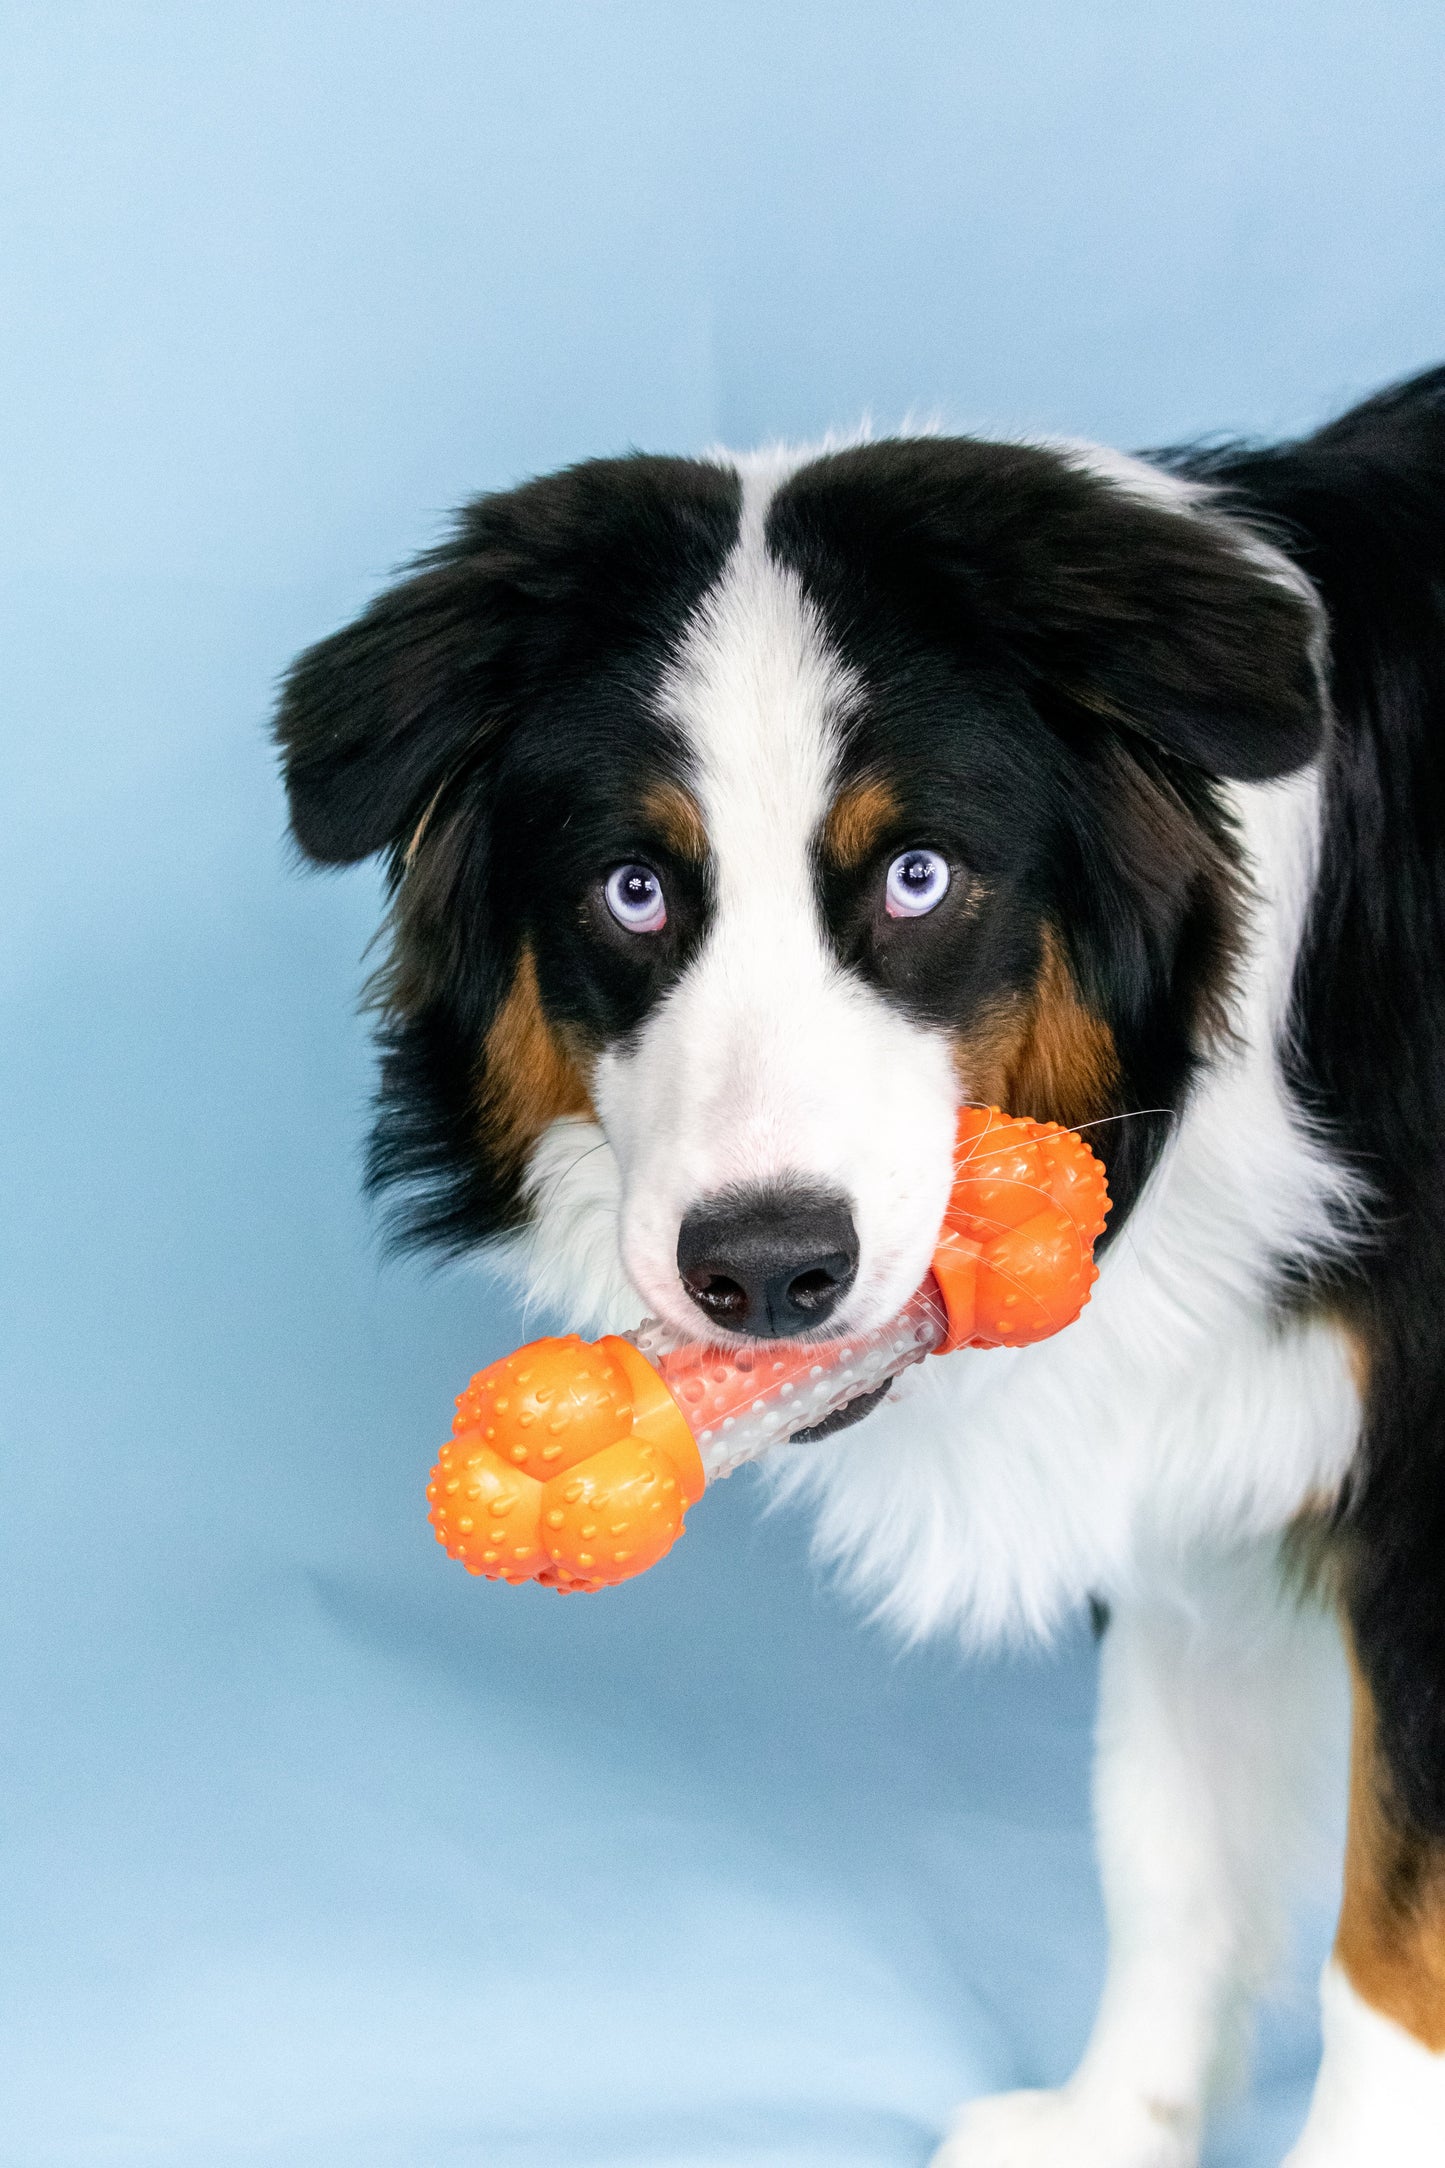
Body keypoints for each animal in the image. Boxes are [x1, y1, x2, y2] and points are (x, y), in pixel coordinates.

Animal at [277, 364, 1438, 2159]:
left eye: (918, 876)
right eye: (634, 889)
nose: (769, 1272)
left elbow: (1391, 1946)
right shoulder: (1202, 1444)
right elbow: (1167, 1833)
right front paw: (1113, 2122)